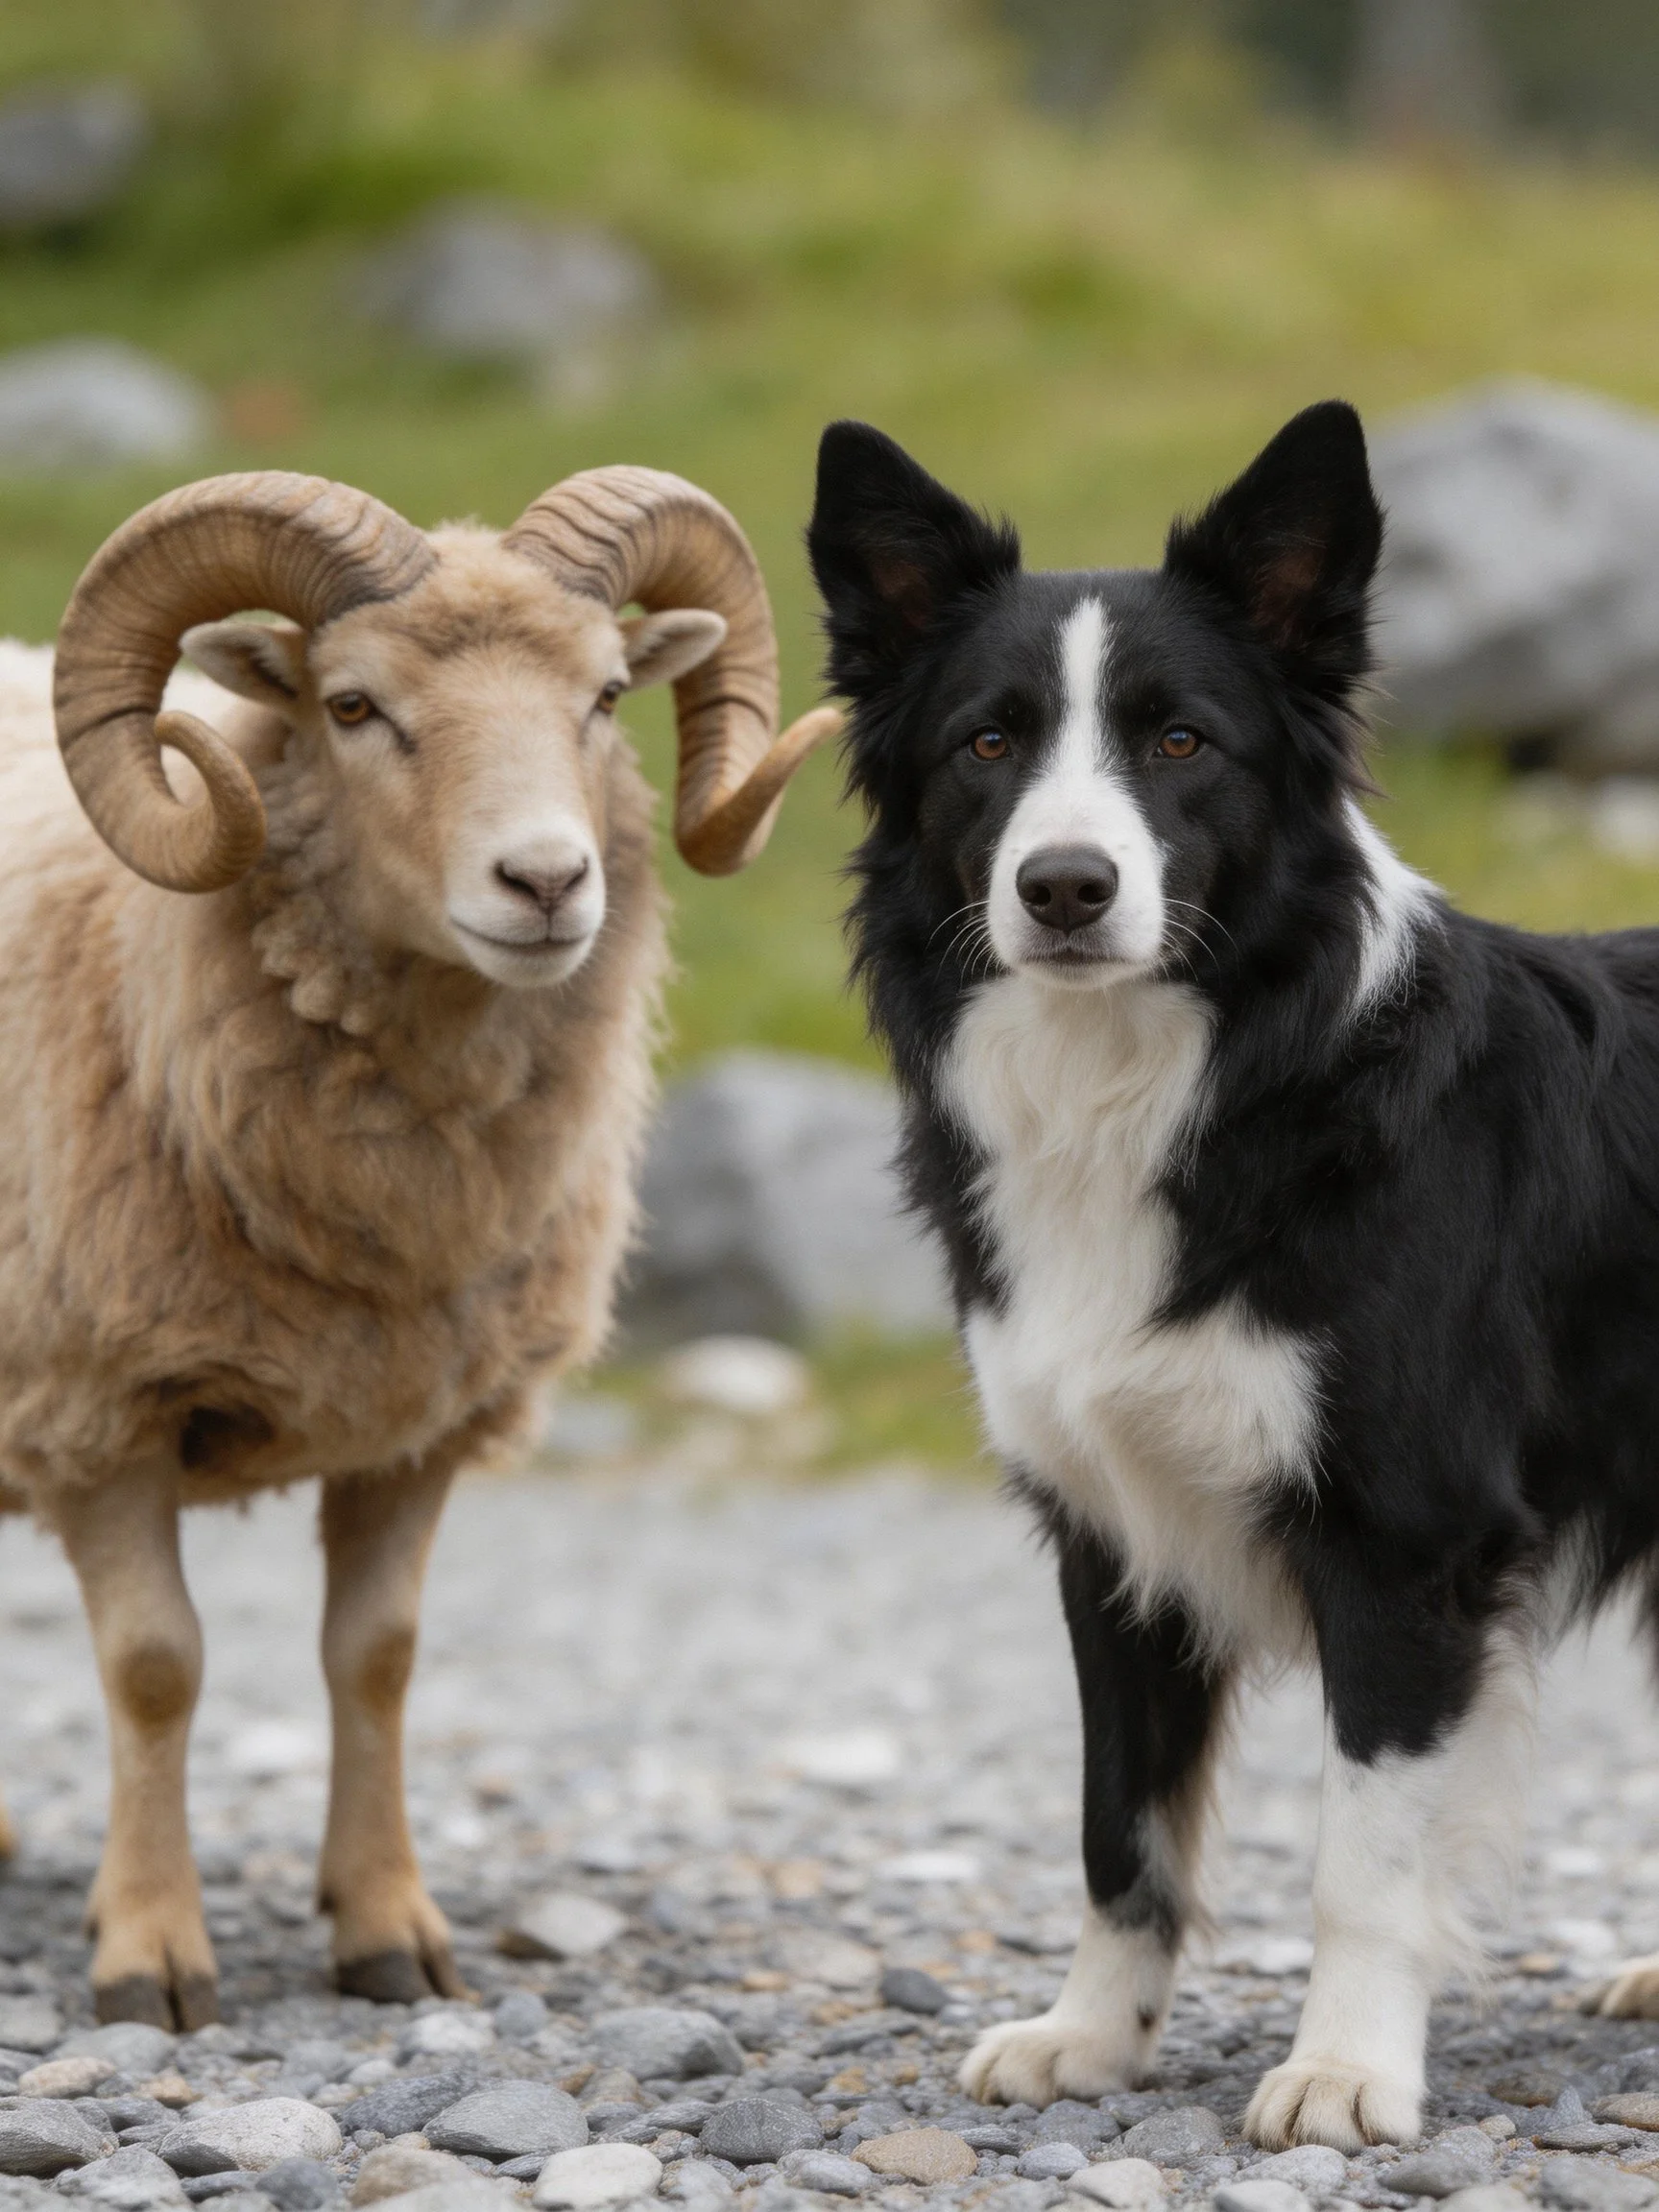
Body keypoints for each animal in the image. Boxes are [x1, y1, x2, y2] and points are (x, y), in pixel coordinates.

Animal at [0, 466, 837, 2028]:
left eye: (608, 692)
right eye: (352, 706)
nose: (548, 883)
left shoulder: (417, 1425)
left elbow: (376, 1661)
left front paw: (388, 1933)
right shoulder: (97, 1406)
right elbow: (154, 1668)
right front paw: (150, 1954)